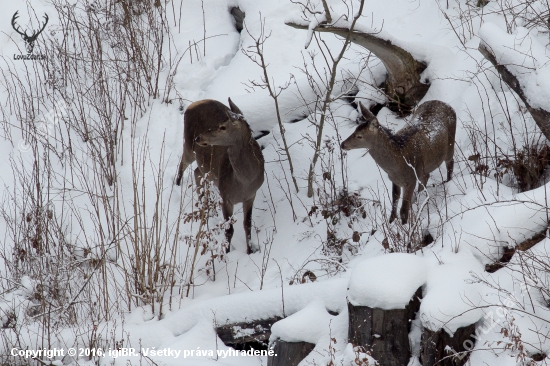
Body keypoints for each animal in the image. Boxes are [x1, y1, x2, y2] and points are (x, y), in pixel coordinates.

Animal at [176, 99, 264, 254]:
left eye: (223, 127)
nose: (199, 137)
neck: (244, 182)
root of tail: (191, 105)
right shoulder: (225, 195)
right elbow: (229, 229)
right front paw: (227, 252)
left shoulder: (251, 195)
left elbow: (247, 224)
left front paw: (250, 250)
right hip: (188, 144)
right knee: (183, 163)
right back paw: (177, 184)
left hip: (206, 166)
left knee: (197, 171)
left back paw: (203, 204)